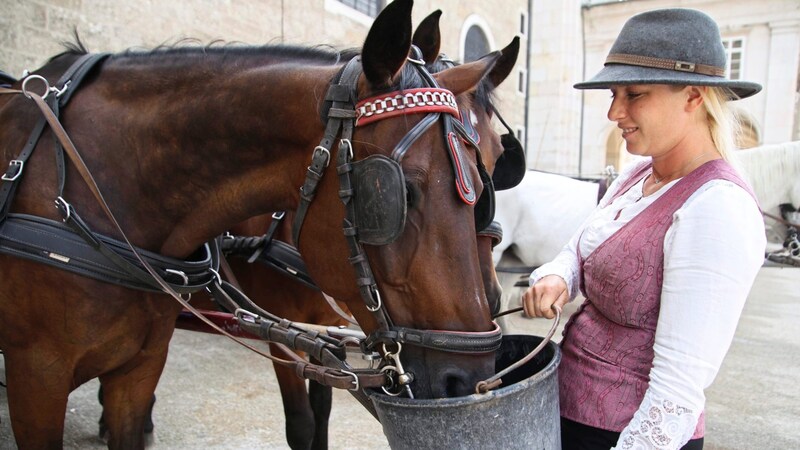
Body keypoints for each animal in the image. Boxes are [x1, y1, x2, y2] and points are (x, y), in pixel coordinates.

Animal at [0, 0, 500, 446]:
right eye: (395, 194)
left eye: (483, 181)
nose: (470, 379)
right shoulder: (37, 377)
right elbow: (302, 424)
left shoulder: (144, 366)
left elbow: (321, 414)